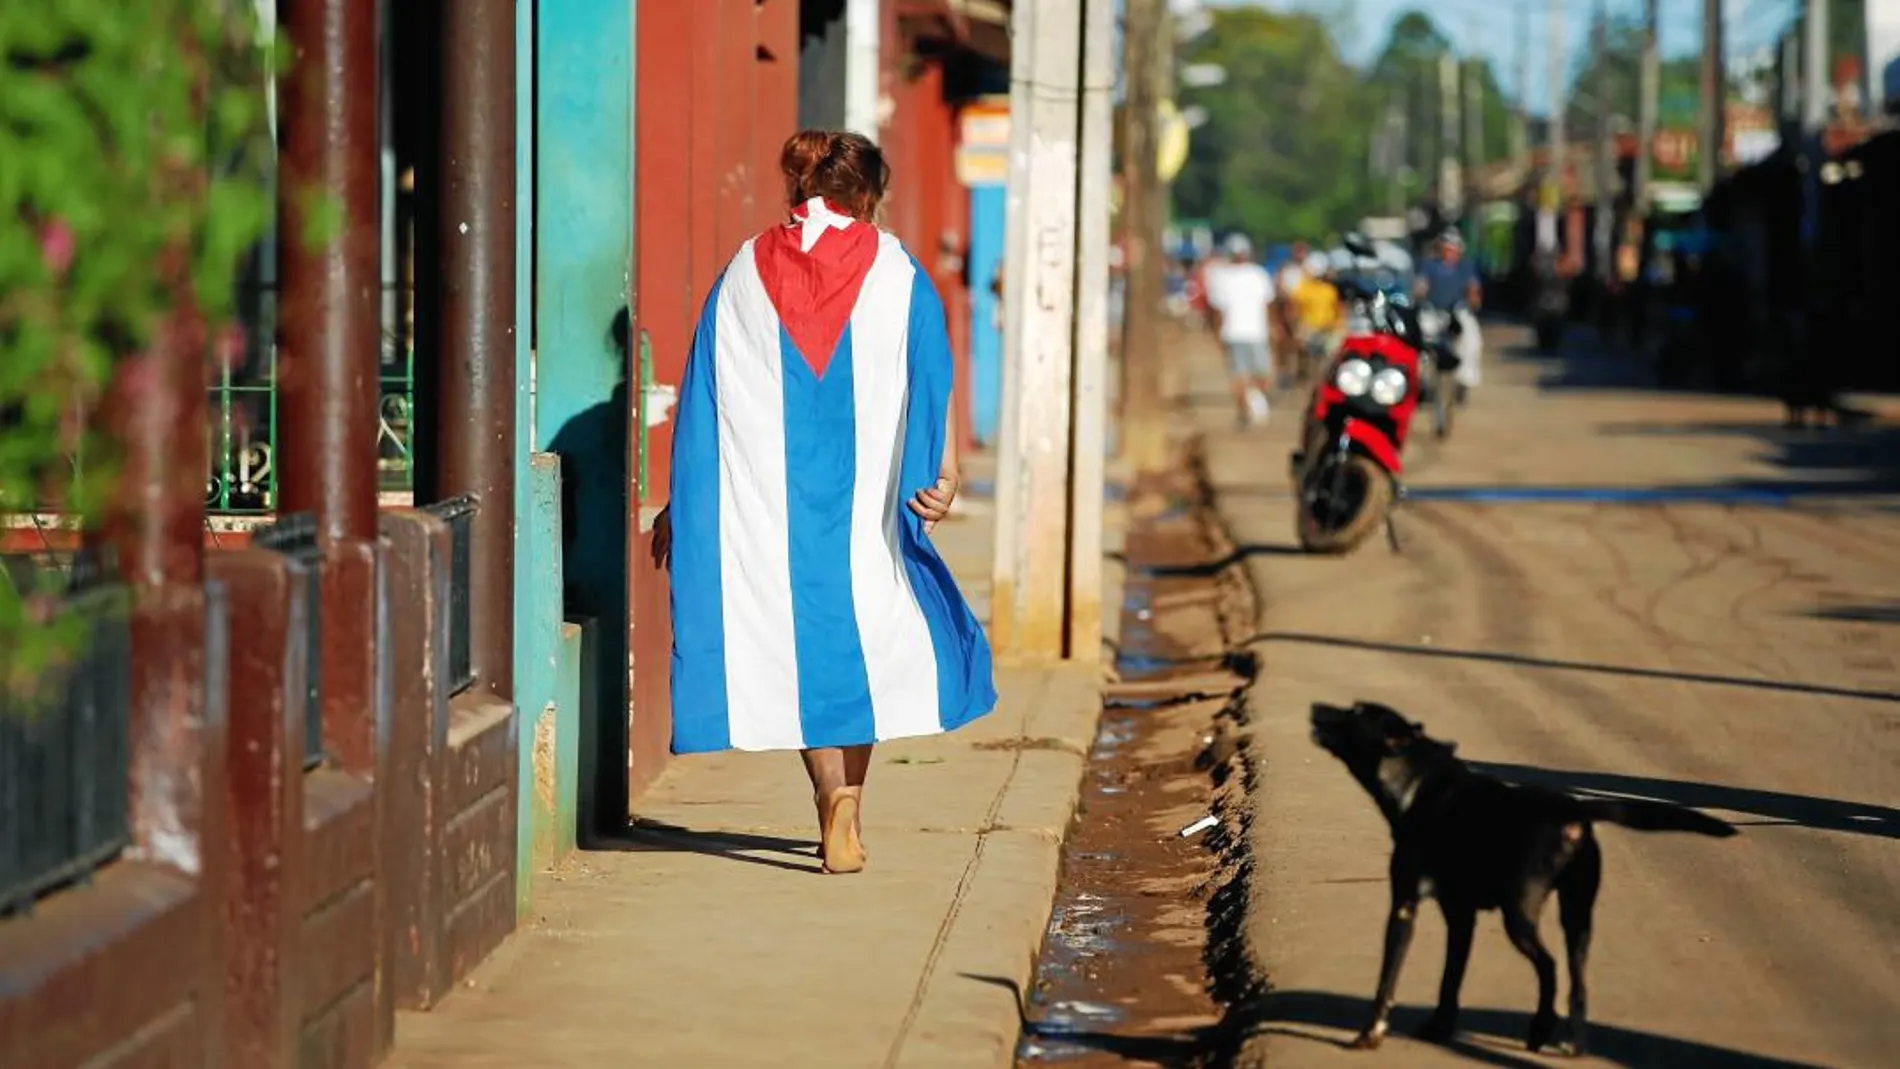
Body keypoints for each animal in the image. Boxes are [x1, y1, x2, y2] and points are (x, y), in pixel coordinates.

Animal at [1307, 698, 1740, 1055]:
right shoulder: (1460, 916)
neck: (1418, 781)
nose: (1315, 707)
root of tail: (1573, 812)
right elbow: (1450, 979)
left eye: (1355, 712)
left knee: (1550, 969)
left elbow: (1387, 982)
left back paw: (1540, 1029)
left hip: (1519, 915)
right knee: (1577, 984)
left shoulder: (1404, 907)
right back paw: (1573, 1045)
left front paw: (1370, 1035)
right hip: (1577, 918)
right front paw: (1439, 1028)